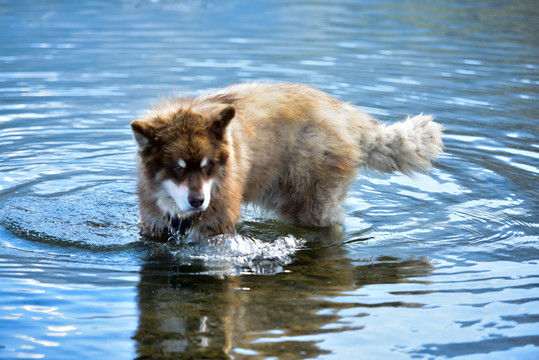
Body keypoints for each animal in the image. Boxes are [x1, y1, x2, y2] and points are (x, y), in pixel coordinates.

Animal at [131, 82, 442, 240]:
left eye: (208, 166)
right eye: (177, 168)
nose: (197, 201)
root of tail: (344, 114)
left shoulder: (217, 228)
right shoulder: (153, 224)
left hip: (307, 201)